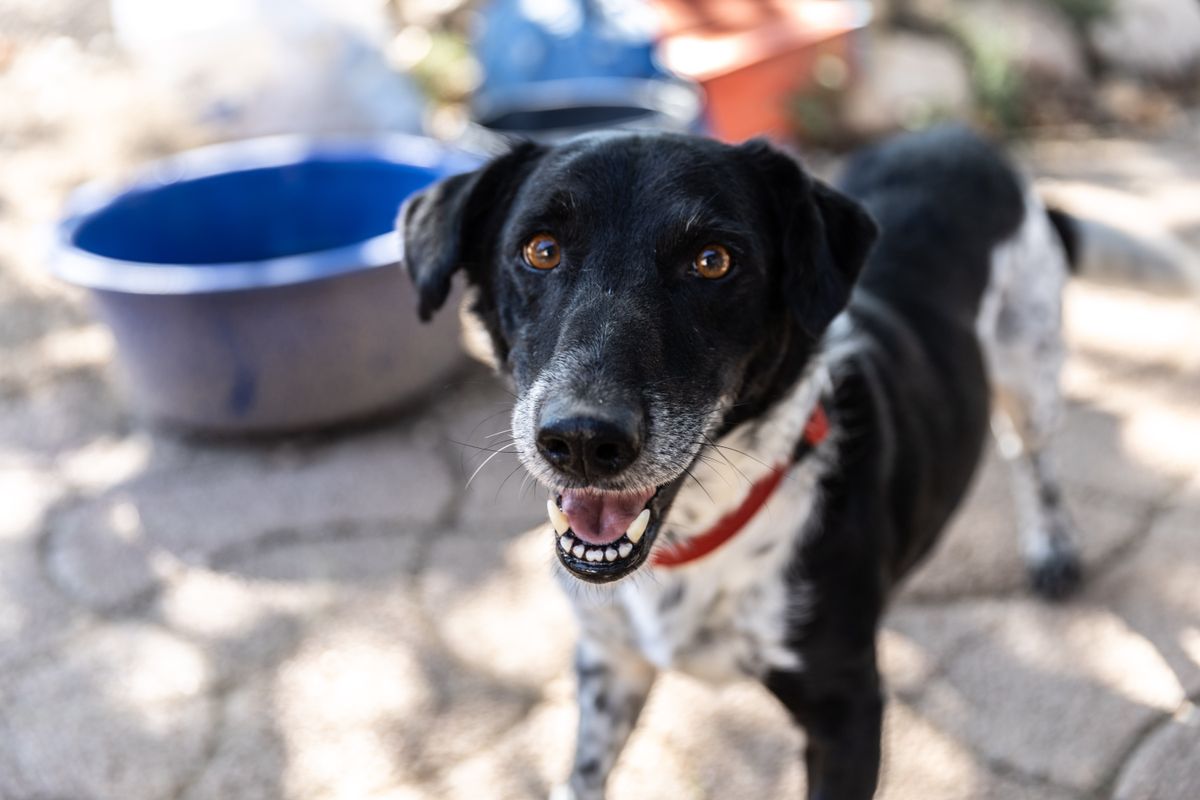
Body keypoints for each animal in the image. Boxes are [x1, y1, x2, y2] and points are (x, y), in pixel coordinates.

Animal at [398, 126, 1084, 800]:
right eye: (541, 250)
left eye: (712, 261)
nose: (583, 442)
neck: (695, 543)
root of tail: (960, 136)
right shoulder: (609, 663)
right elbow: (580, 780)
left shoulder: (848, 712)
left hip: (1032, 372)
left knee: (1033, 458)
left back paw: (1052, 550)